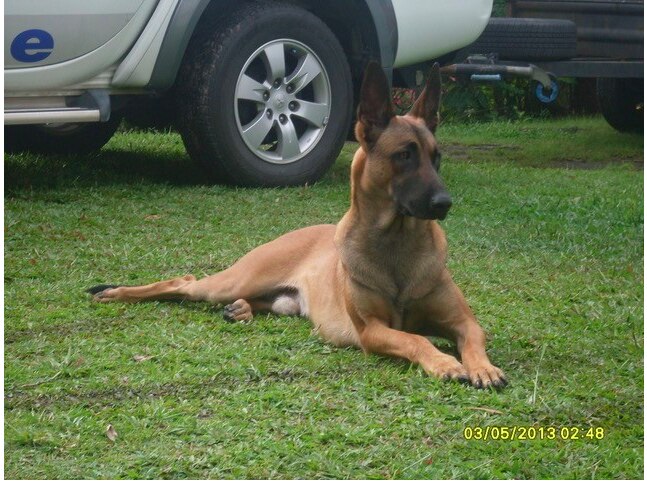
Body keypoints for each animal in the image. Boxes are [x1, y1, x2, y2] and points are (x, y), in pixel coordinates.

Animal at [90, 62, 506, 388]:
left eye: (436, 158)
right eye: (404, 155)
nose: (444, 203)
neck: (397, 243)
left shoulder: (464, 320)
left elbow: (473, 338)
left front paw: (482, 367)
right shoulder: (372, 331)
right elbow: (418, 340)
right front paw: (445, 362)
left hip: (279, 302)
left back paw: (241, 310)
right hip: (233, 281)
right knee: (184, 282)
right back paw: (114, 292)